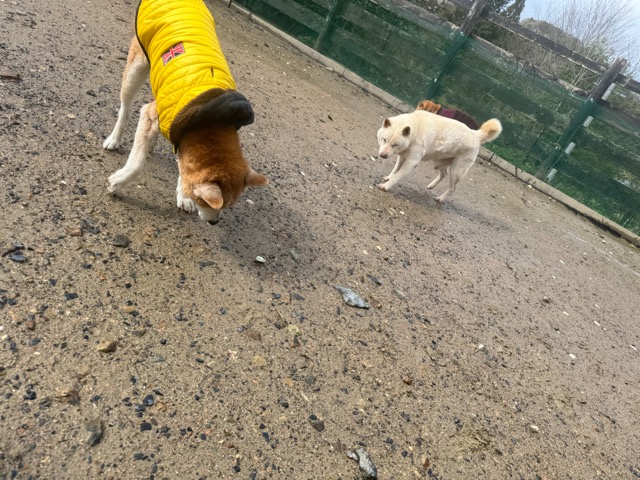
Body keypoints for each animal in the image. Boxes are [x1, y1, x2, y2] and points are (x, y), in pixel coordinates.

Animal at [103, 0, 268, 224]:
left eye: (229, 206)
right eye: (206, 202)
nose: (214, 222)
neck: (211, 120)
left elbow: (183, 169)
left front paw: (183, 195)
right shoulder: (152, 114)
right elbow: (136, 163)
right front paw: (117, 182)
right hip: (135, 70)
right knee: (125, 109)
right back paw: (114, 139)